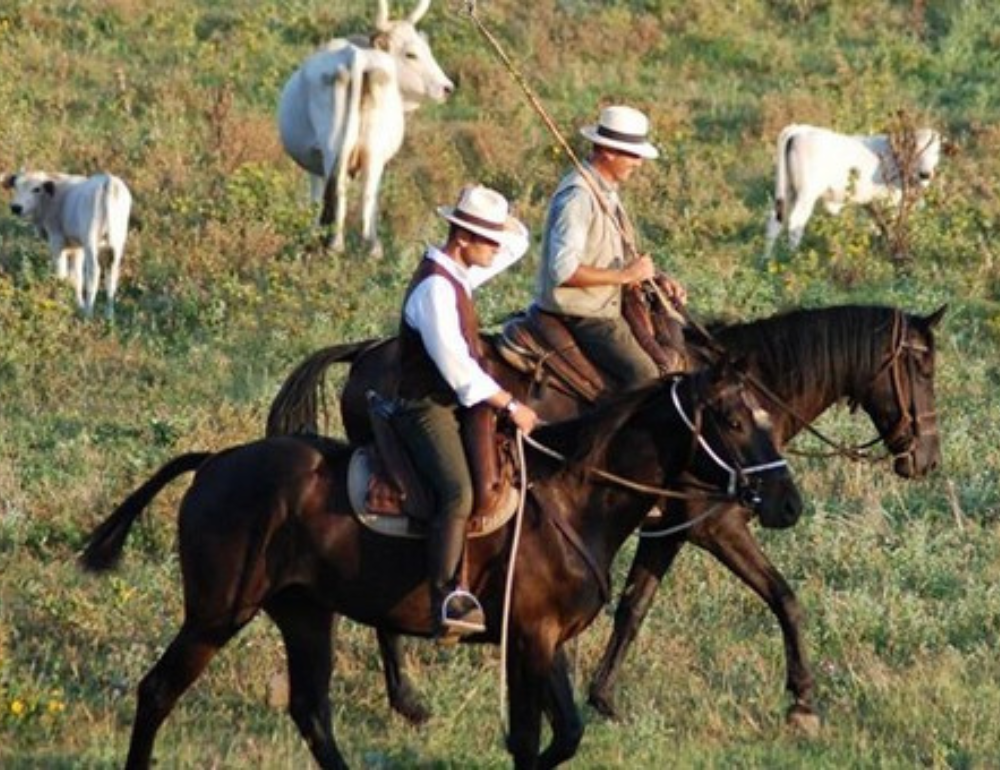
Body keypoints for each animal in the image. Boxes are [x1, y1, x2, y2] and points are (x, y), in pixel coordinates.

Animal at [3, 170, 133, 318]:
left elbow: (62, 273)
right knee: (111, 277)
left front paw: (61, 300)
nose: (16, 207)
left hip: (90, 241)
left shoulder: (57, 239)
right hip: (116, 244)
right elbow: (76, 277)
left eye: (36, 189)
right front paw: (78, 303)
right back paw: (109, 315)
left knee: (94, 273)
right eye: (15, 186)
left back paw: (88, 313)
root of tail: (108, 180)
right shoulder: (76, 246)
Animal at [80, 362, 804, 768]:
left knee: (312, 712)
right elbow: (536, 740)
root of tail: (212, 463)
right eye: (732, 420)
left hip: (304, 614)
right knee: (158, 692)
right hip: (215, 615)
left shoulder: (542, 642)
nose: (787, 501)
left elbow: (558, 735)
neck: (573, 496)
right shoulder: (531, 639)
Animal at [262, 300, 940, 728]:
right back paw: (408, 700)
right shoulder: (714, 526)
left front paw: (604, 697)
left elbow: (634, 607)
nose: (926, 458)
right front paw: (801, 699)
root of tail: (364, 354)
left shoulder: (667, 530)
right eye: (921, 365)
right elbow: (784, 597)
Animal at [280, 0, 456, 258]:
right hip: (371, 149)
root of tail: (356, 56)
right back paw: (369, 247)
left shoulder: (316, 163)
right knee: (366, 192)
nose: (447, 88)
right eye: (411, 54)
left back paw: (338, 245)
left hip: (337, 147)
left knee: (346, 191)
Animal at [760, 123, 940, 254]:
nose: (925, 174)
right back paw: (792, 257)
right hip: (806, 194)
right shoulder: (892, 201)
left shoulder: (870, 202)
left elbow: (877, 226)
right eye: (913, 146)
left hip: (787, 190)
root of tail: (800, 129)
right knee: (796, 222)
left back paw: (767, 258)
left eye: (936, 152)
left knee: (775, 220)